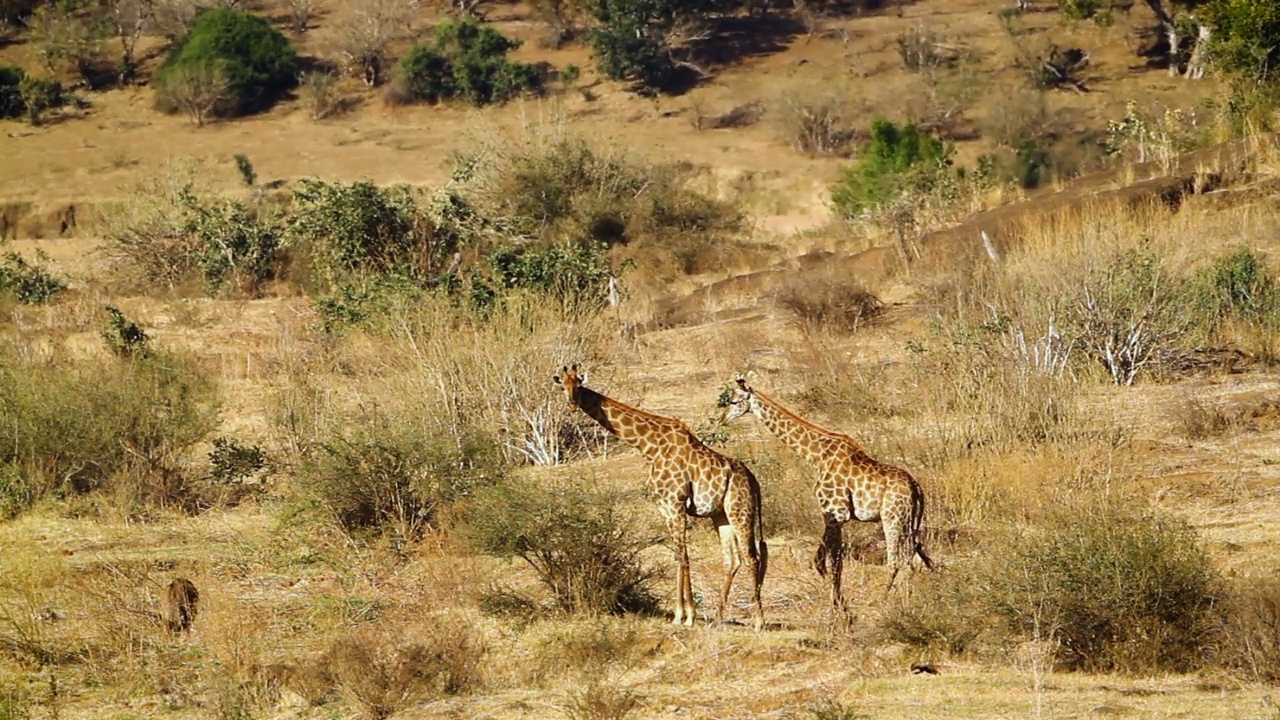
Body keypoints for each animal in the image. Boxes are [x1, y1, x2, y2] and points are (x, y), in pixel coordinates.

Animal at [552, 363, 768, 627]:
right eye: (562, 386)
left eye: (578, 385)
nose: (572, 404)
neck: (650, 447)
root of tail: (754, 481)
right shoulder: (664, 507)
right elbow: (677, 556)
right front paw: (679, 615)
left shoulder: (676, 503)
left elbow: (684, 556)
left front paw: (689, 616)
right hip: (721, 515)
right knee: (732, 559)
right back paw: (717, 618)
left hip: (740, 510)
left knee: (752, 558)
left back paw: (758, 621)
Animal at [721, 376, 931, 604]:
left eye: (734, 401)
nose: (722, 420)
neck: (817, 456)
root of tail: (917, 489)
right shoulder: (834, 516)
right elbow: (822, 561)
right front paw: (836, 598)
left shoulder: (835, 513)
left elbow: (832, 562)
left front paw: (836, 601)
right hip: (908, 522)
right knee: (910, 558)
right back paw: (908, 598)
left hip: (892, 519)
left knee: (895, 561)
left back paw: (883, 600)